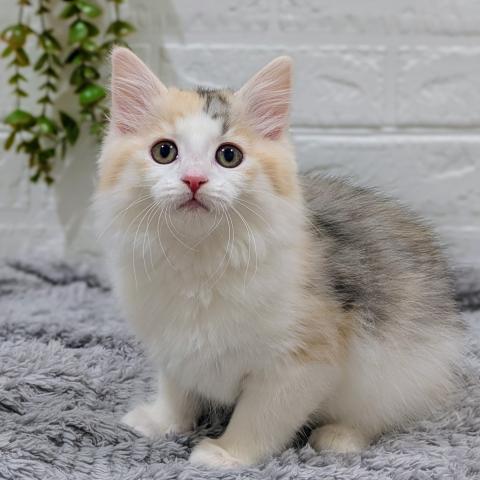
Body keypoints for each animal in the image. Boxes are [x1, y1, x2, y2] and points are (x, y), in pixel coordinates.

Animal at [94, 47, 464, 468]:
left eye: (229, 156)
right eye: (164, 152)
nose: (194, 180)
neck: (199, 257)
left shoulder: (300, 363)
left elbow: (260, 417)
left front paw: (225, 453)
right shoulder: (172, 346)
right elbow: (177, 391)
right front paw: (161, 423)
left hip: (397, 371)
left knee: (381, 415)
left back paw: (339, 437)